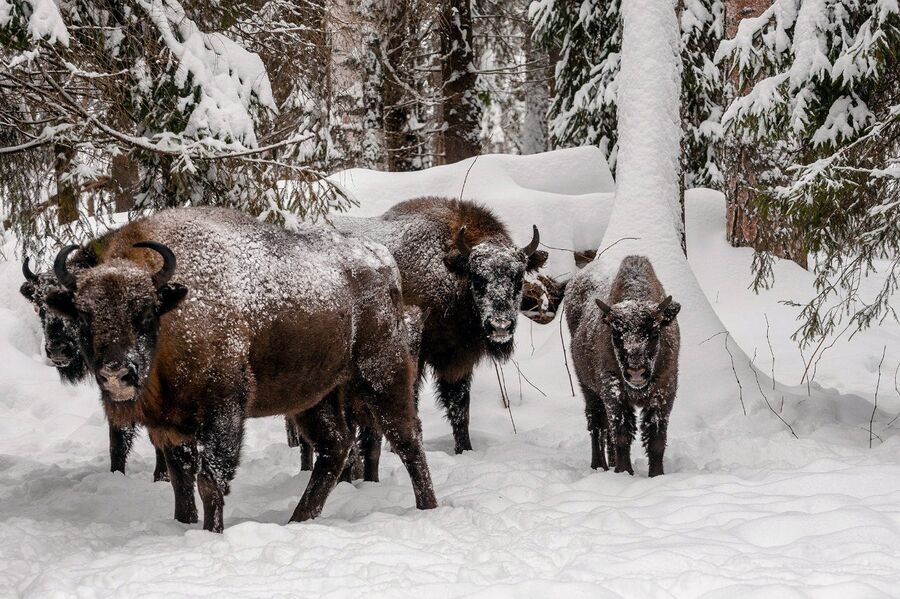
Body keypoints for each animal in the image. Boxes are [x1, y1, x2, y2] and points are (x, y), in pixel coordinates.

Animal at [46, 207, 440, 536]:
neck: (176, 312)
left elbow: (210, 480)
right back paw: (298, 519)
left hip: (381, 373)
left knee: (407, 438)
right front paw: (184, 525)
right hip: (314, 396)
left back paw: (427, 508)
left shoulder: (224, 411)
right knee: (336, 446)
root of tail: (384, 262)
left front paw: (211, 533)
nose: (116, 373)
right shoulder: (170, 426)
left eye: (144, 312)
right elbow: (181, 481)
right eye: (84, 317)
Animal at [568, 256, 680, 478]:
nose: (636, 372)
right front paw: (624, 471)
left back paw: (609, 464)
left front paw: (656, 475)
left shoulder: (663, 392)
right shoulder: (614, 392)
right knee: (597, 425)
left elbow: (656, 439)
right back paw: (599, 465)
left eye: (654, 332)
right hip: (588, 389)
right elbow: (621, 435)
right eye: (616, 334)